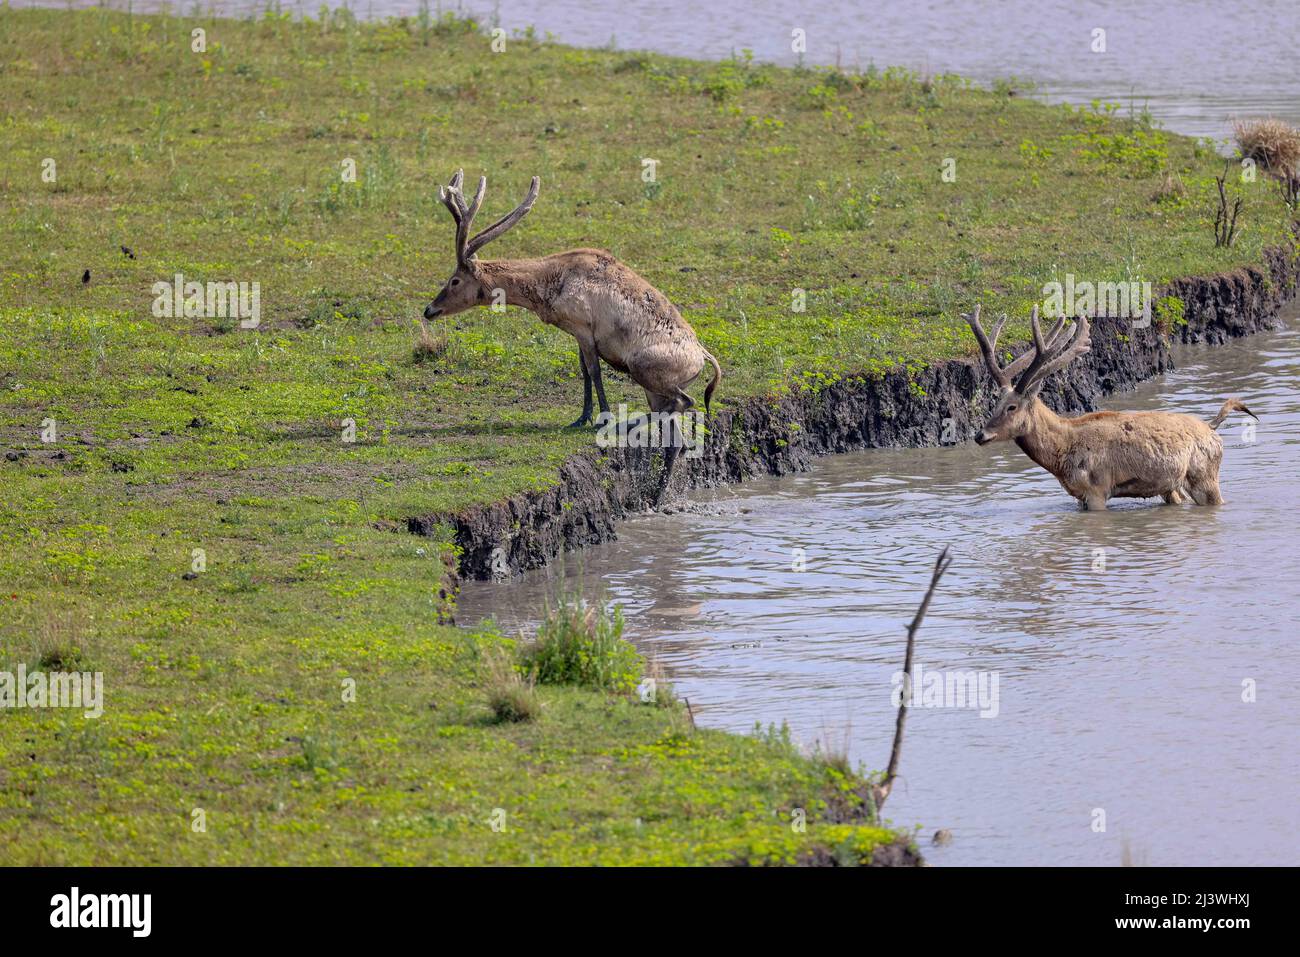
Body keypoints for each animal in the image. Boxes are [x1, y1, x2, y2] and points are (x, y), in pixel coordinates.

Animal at [423, 170, 722, 509]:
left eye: (454, 280)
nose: (429, 309)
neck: (549, 286)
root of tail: (704, 357)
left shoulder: (583, 327)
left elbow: (593, 370)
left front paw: (603, 417)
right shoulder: (576, 333)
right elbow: (583, 371)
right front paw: (581, 418)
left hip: (643, 368)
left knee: (686, 402)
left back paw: (622, 426)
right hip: (654, 390)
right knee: (677, 440)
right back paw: (657, 496)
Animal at [961, 304, 1253, 512]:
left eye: (1011, 407)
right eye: (994, 403)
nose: (980, 435)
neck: (1061, 453)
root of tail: (1212, 427)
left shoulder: (1097, 488)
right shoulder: (1080, 495)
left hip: (1205, 477)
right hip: (1171, 486)